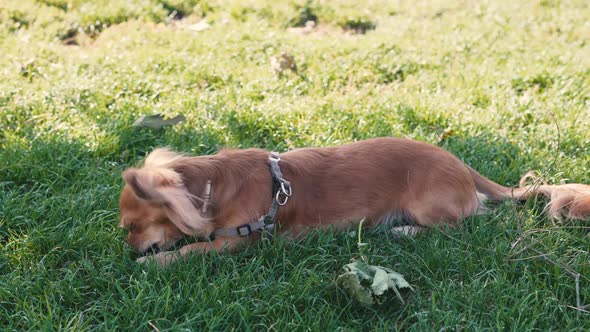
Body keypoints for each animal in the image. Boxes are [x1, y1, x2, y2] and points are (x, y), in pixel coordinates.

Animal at [120, 137, 590, 264]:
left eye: (133, 227)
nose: (128, 251)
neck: (212, 186)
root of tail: (460, 164)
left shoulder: (241, 241)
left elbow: (196, 249)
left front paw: (156, 262)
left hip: (429, 206)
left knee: (458, 226)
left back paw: (402, 231)